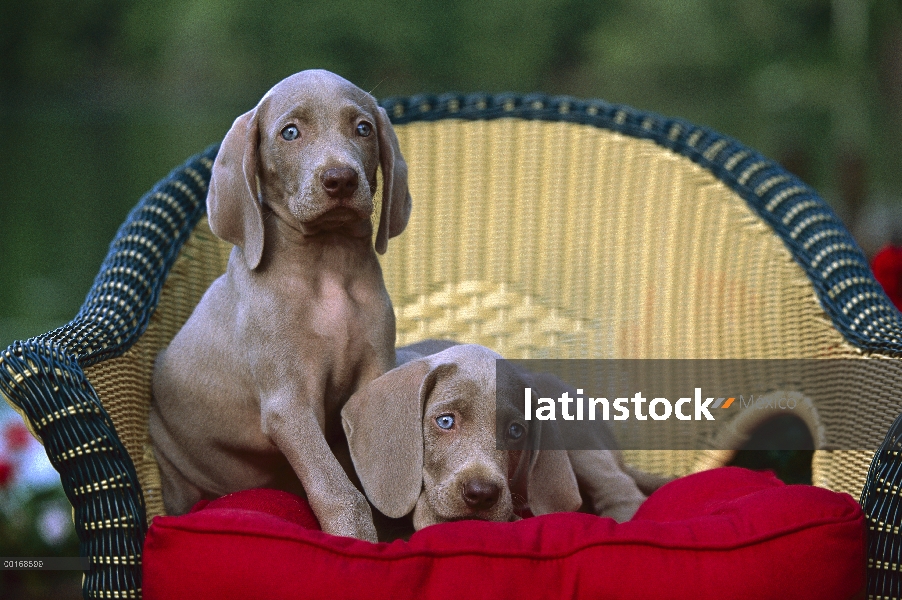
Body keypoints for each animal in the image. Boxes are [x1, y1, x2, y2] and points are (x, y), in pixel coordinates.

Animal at [150, 70, 412, 544]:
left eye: (363, 128)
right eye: (290, 132)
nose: (340, 179)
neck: (327, 266)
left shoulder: (374, 375)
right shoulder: (288, 405)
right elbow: (337, 488)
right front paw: (357, 541)